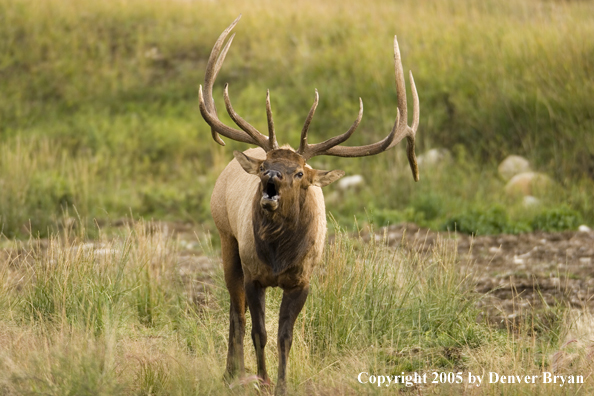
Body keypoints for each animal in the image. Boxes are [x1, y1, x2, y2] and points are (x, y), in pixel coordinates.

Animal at [198, 14, 416, 392]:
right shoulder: (254, 273)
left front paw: (282, 385)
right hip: (226, 238)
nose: (271, 179)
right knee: (235, 310)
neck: (278, 255)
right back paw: (232, 372)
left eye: (299, 172)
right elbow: (259, 332)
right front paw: (262, 380)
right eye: (266, 167)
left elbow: (285, 336)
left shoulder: (302, 280)